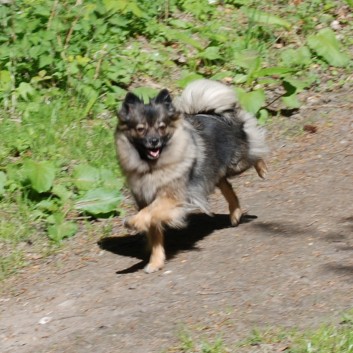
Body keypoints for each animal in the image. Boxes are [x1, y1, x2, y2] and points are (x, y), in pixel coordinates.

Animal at [115, 80, 266, 272]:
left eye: (161, 127)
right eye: (140, 129)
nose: (154, 141)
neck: (152, 167)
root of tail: (213, 113)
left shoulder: (172, 197)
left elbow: (148, 213)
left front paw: (133, 222)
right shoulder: (148, 198)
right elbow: (153, 229)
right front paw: (155, 262)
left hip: (237, 162)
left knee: (255, 151)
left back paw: (262, 169)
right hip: (212, 172)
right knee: (227, 186)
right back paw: (235, 214)